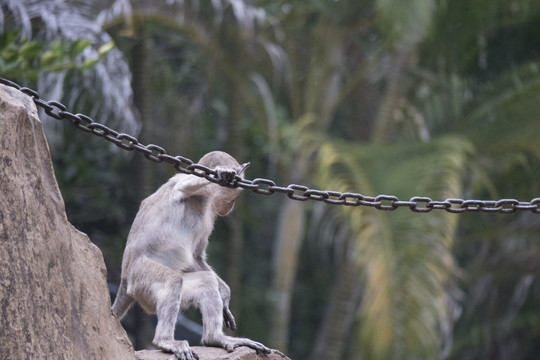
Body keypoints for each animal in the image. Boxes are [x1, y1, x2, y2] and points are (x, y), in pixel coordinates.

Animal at [111, 151, 270, 360]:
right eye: (235, 195)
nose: (232, 205)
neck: (204, 197)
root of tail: (124, 277)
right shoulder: (185, 183)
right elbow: (183, 185)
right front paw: (224, 173)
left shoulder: (209, 212)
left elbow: (196, 256)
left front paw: (224, 292)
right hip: (139, 279)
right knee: (172, 281)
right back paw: (165, 341)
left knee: (206, 281)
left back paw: (214, 338)